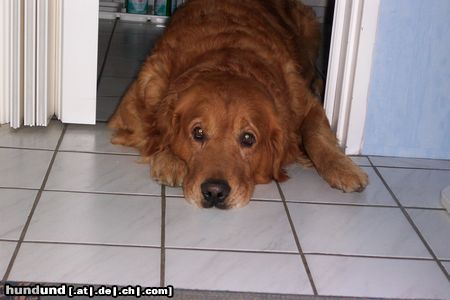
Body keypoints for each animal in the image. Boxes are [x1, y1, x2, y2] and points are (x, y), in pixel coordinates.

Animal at [109, 0, 370, 209]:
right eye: (198, 133)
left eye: (248, 138)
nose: (214, 192)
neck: (228, 58)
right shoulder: (133, 105)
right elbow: (153, 133)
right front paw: (170, 161)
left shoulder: (305, 104)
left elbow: (316, 135)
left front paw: (343, 168)